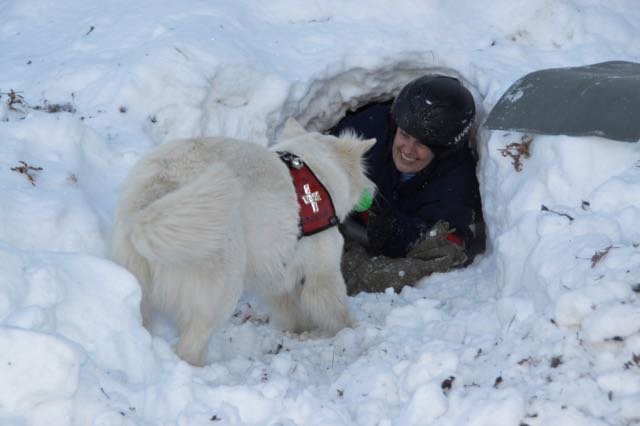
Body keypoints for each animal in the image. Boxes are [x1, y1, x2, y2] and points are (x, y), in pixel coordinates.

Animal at [109, 118, 376, 364]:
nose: (374, 188)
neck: (316, 173)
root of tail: (154, 195)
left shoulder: (277, 271)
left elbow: (288, 307)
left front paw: (300, 330)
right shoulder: (323, 269)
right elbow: (334, 306)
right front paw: (350, 329)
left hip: (140, 285)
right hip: (223, 287)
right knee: (191, 344)